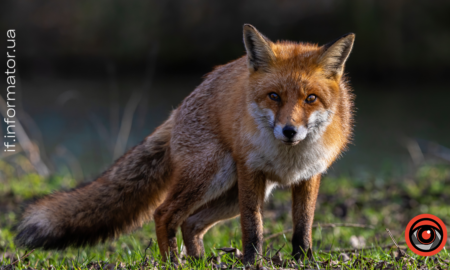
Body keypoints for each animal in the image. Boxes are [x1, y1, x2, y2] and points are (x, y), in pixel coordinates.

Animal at [14, 24, 356, 264]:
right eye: (274, 96)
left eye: (310, 99)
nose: (289, 131)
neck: (288, 159)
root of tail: (179, 108)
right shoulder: (251, 171)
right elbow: (253, 227)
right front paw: (252, 262)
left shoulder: (309, 176)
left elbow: (303, 228)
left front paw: (303, 261)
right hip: (214, 176)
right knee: (165, 214)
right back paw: (173, 262)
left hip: (231, 193)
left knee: (191, 222)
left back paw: (200, 261)